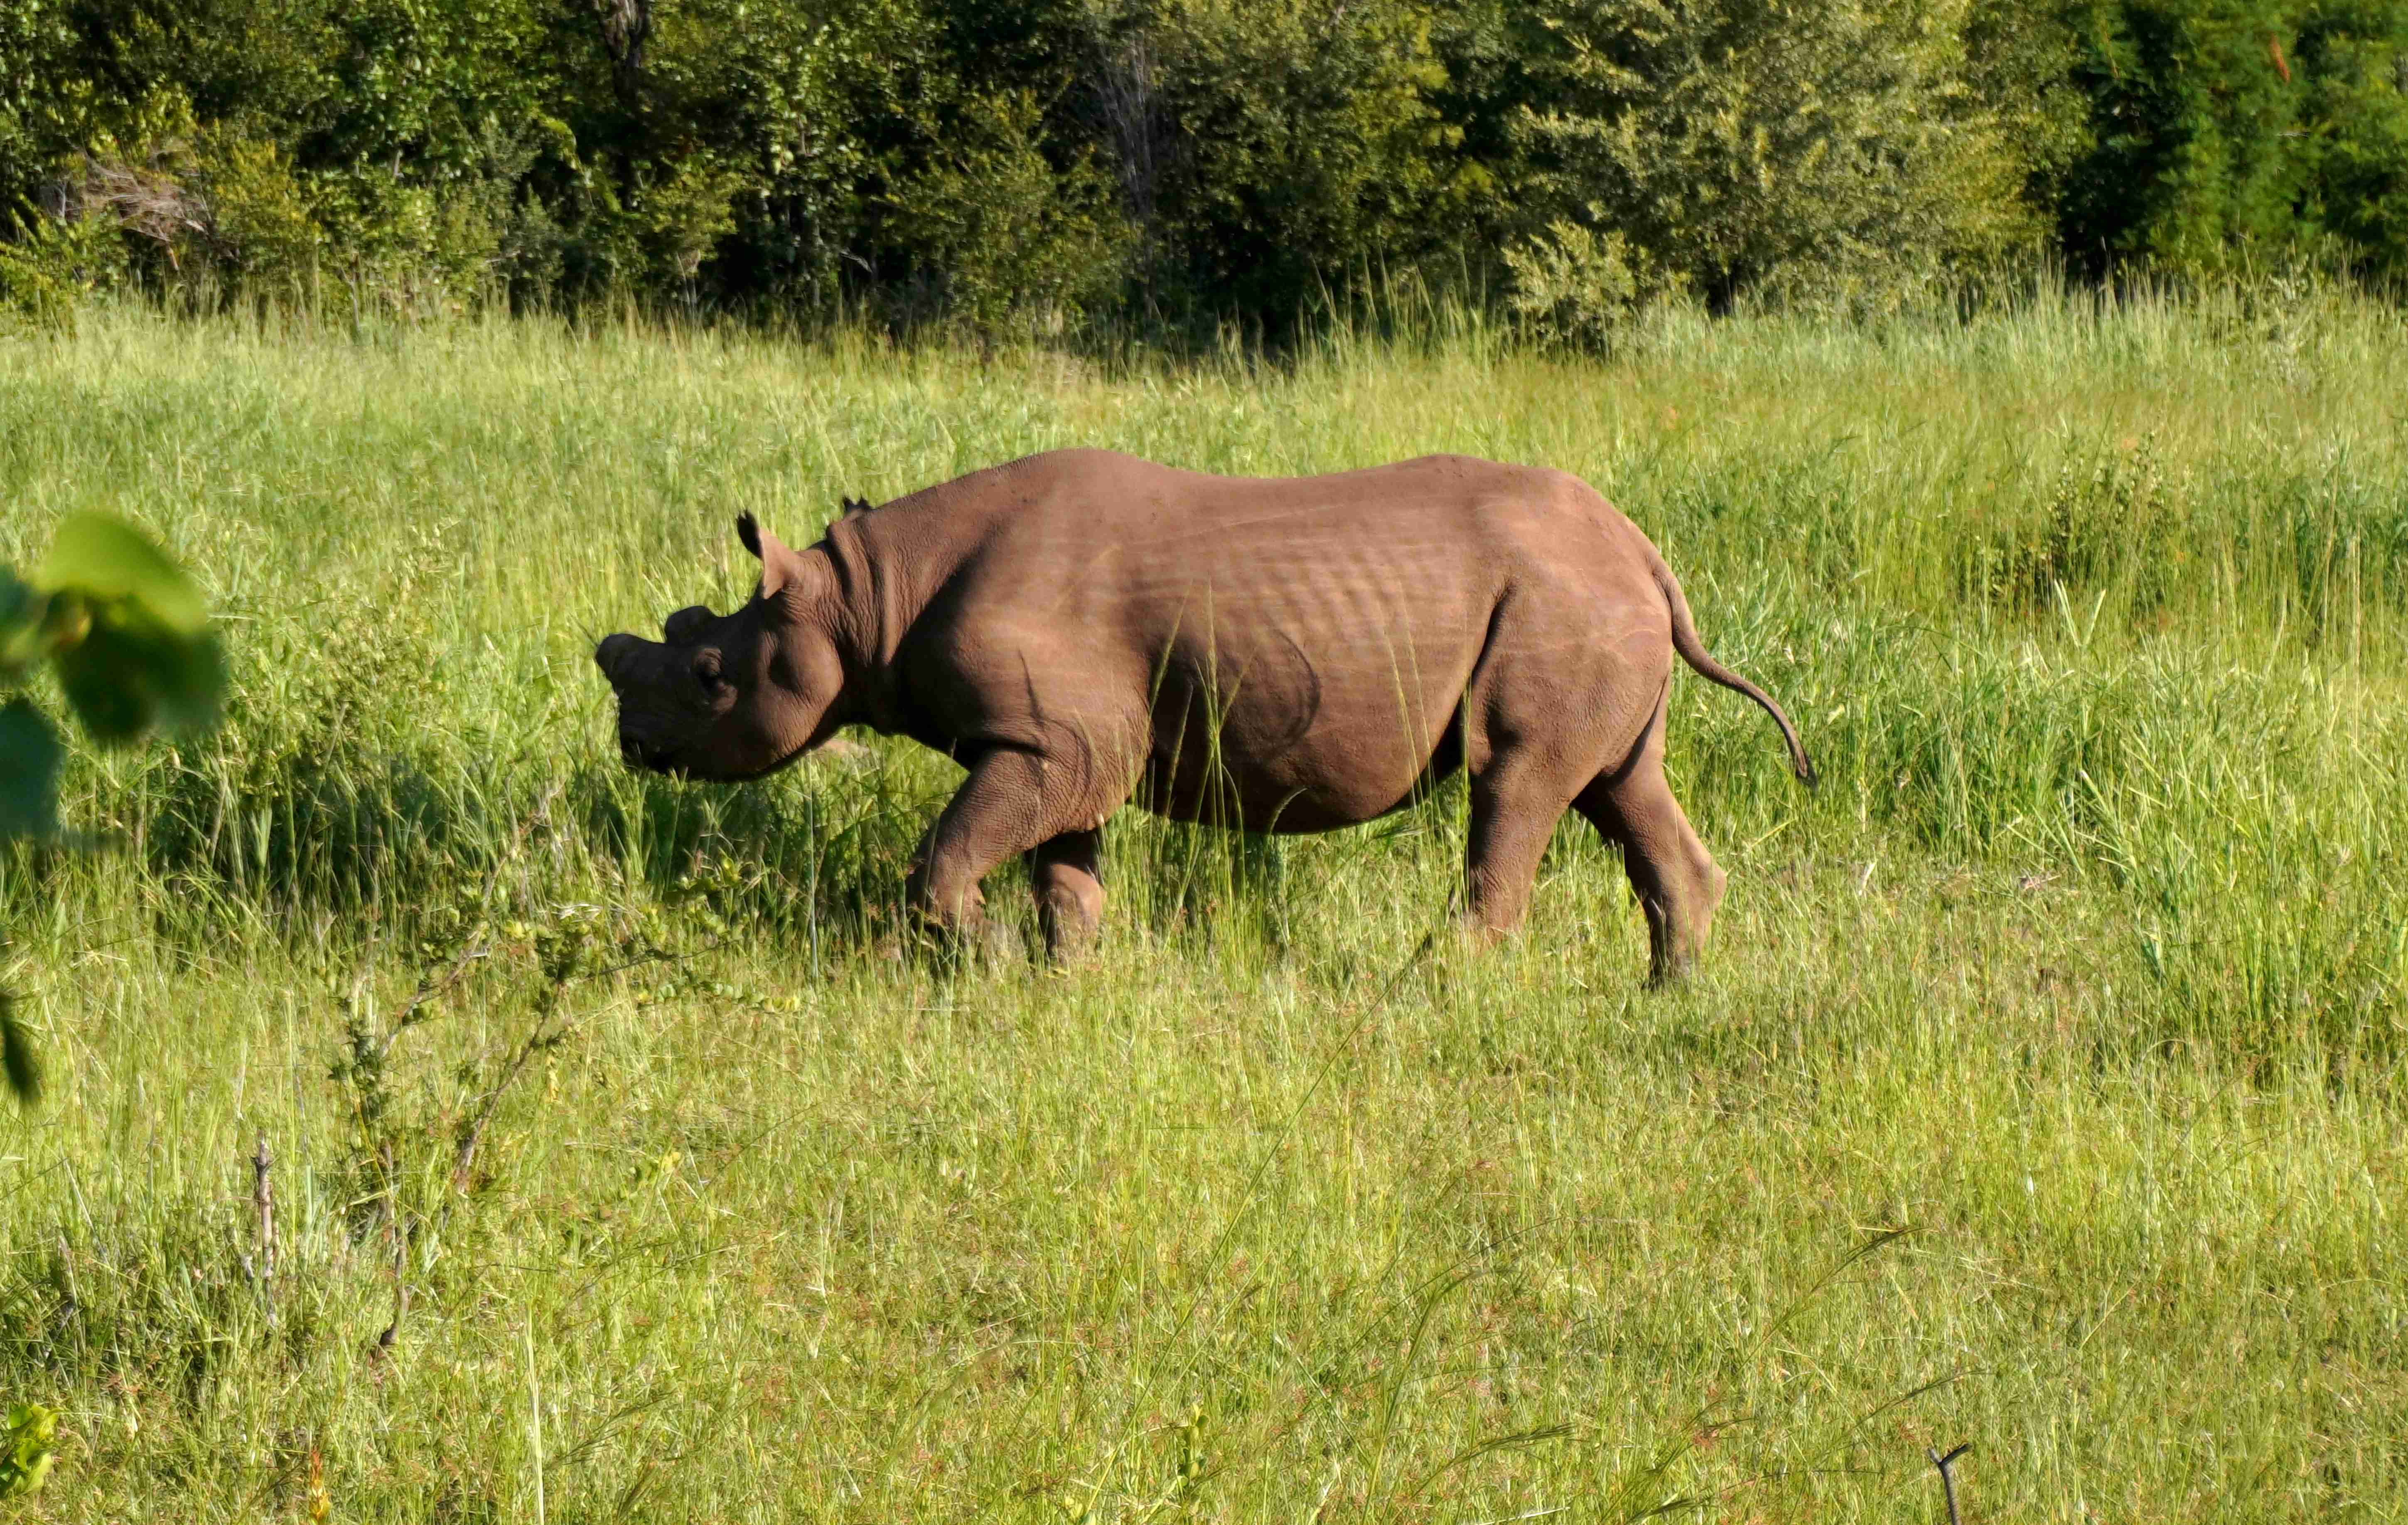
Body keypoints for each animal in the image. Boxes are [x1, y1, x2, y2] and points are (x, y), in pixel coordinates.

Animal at [594, 449, 1813, 982]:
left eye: (709, 670)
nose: (632, 746)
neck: (866, 594)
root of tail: (1644, 550)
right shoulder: (1056, 741)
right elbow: (1066, 879)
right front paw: (1062, 983)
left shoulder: (1049, 739)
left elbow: (942, 860)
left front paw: (988, 962)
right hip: (1593, 607)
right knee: (1618, 784)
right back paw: (1667, 993)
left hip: (1562, 602)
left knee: (1514, 783)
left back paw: (1428, 992)